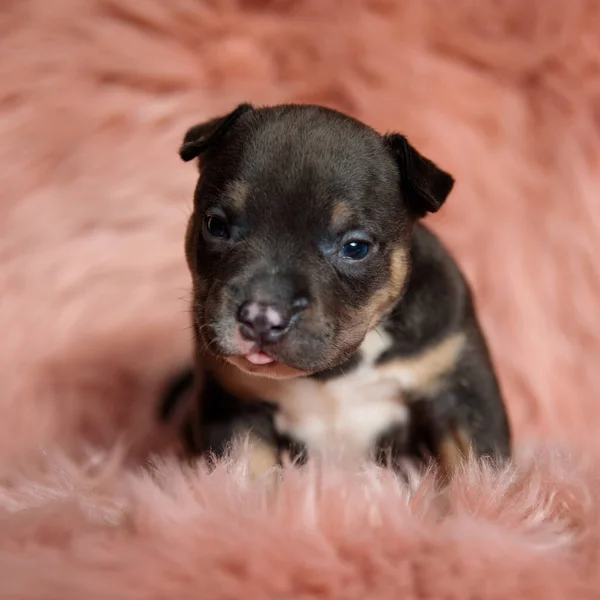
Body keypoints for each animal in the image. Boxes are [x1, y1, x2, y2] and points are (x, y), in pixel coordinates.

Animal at [159, 102, 510, 478]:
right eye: (215, 226)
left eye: (355, 248)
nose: (261, 316)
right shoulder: (235, 409)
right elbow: (248, 474)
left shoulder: (462, 393)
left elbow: (477, 470)